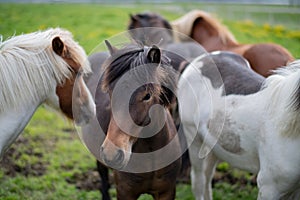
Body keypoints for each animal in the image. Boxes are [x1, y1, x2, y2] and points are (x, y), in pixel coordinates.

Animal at [177, 52, 300, 200]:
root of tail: (200, 58)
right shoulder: (269, 187)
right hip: (193, 138)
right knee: (198, 182)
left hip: (214, 145)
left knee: (207, 178)